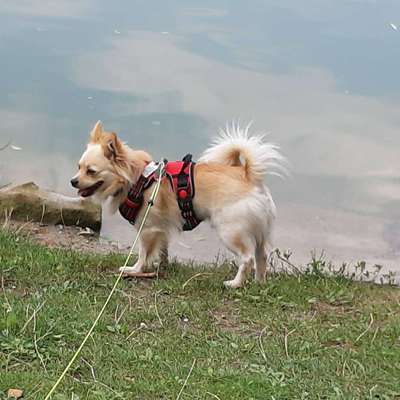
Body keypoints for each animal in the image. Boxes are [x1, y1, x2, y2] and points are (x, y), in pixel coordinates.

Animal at [71, 121, 284, 288]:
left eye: (91, 171)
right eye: (78, 167)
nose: (73, 181)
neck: (137, 179)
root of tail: (249, 176)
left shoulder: (147, 229)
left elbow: (143, 254)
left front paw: (135, 269)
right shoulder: (161, 229)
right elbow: (162, 250)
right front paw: (160, 267)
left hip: (230, 231)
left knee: (247, 258)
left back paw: (235, 283)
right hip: (259, 231)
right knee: (261, 256)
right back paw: (259, 282)